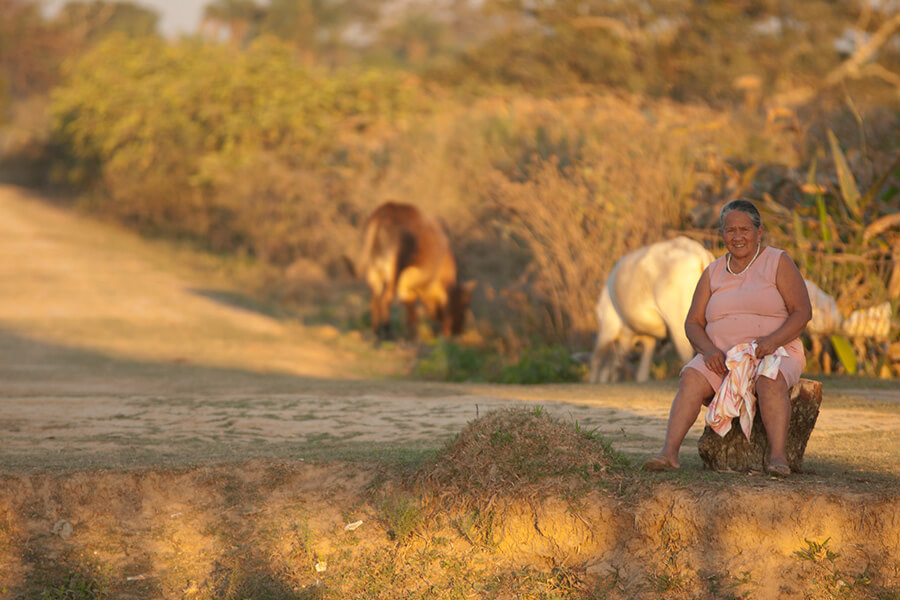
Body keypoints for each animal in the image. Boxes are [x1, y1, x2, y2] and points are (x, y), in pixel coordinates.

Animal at [358, 202, 474, 340]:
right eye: (465, 302)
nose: (458, 331)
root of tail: (383, 212)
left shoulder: (408, 289)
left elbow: (411, 313)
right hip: (393, 272)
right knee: (386, 299)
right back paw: (387, 334)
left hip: (374, 272)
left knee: (374, 300)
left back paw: (376, 332)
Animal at [588, 236, 712, 382]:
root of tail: (698, 251)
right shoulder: (646, 338)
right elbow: (641, 372)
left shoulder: (609, 325)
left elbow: (599, 360)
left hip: (678, 322)